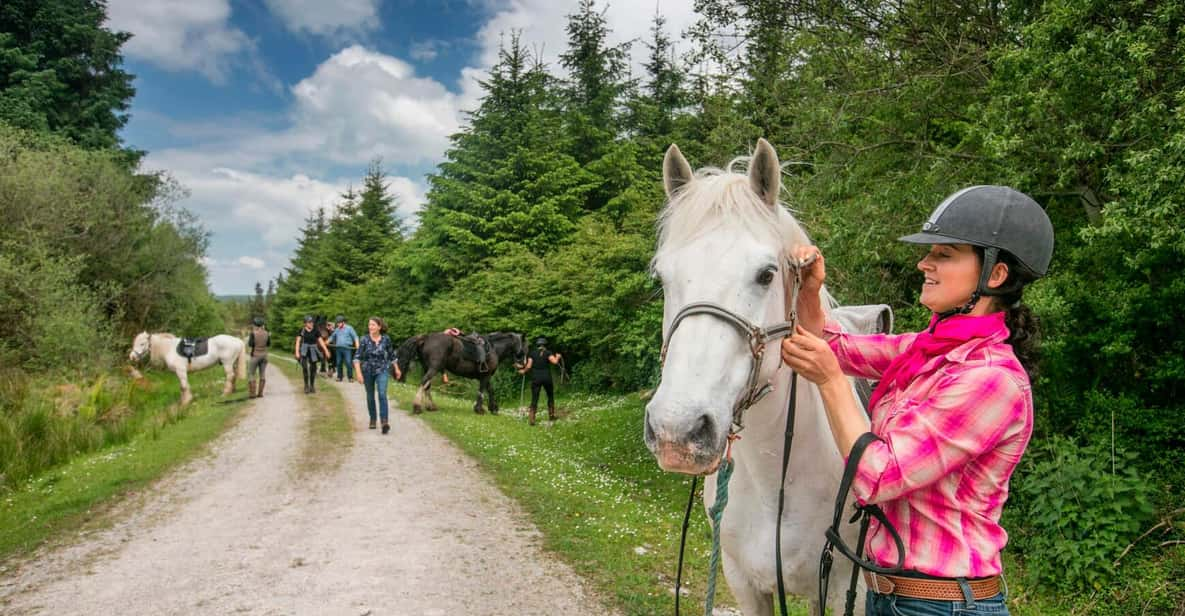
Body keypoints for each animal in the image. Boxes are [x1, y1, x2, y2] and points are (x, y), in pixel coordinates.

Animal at [649, 140, 891, 616]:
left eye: (766, 274)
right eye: (662, 277)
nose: (676, 430)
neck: (775, 483)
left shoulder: (847, 593)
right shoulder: (743, 581)